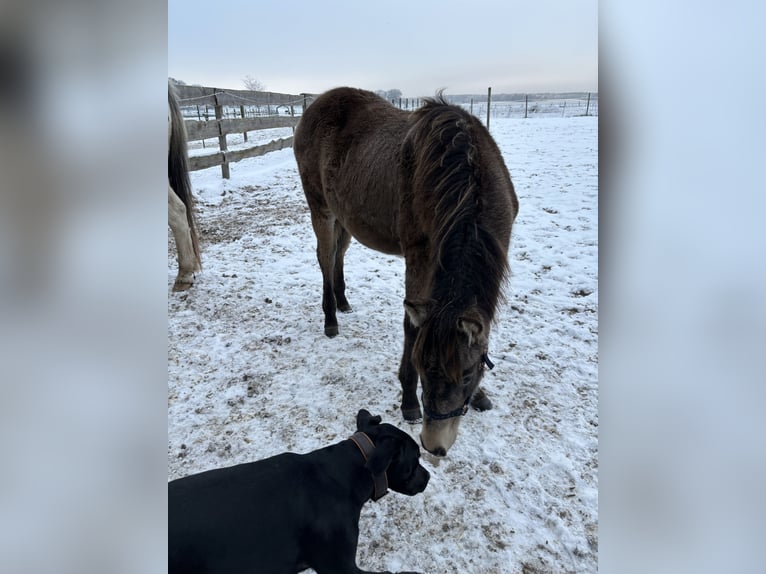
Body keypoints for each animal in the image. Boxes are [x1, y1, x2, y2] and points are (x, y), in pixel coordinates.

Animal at [296, 88, 520, 456]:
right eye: (421, 365)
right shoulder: (420, 257)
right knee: (325, 259)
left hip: (344, 216)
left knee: (338, 255)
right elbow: (412, 327)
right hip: (321, 209)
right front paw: (409, 401)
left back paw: (343, 302)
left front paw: (479, 397)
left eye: (468, 373)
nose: (434, 444)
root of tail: (315, 105)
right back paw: (330, 318)